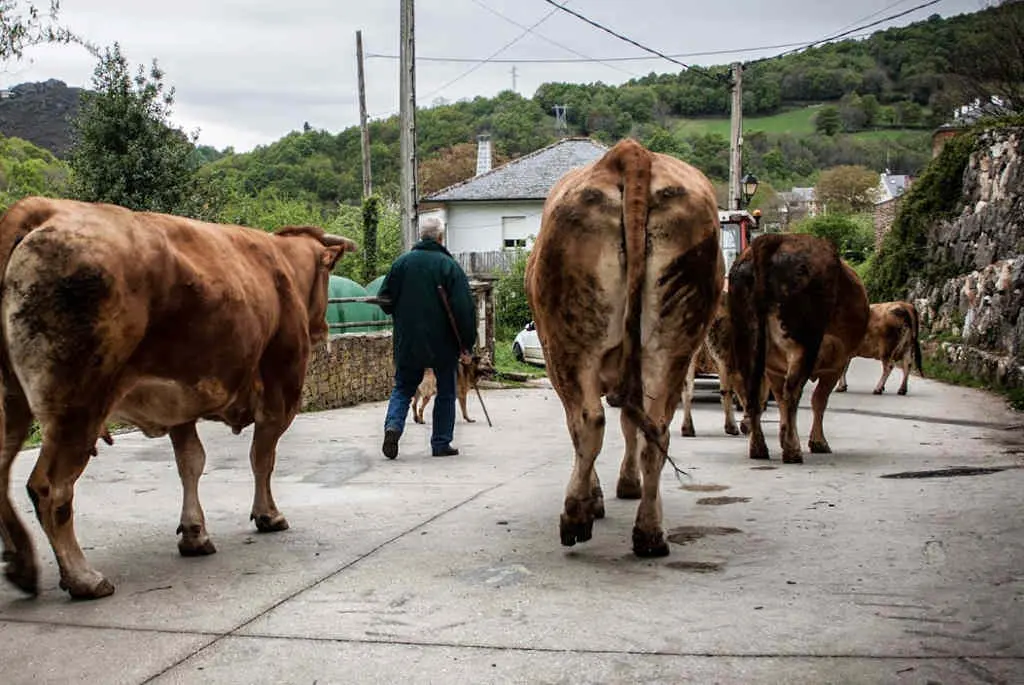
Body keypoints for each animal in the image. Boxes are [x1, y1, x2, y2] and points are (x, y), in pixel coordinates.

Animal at [0, 196, 357, 600]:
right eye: (326, 275)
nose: (323, 328)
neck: (280, 264)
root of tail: (44, 207)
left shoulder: (179, 401)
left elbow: (191, 462)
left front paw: (194, 534)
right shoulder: (280, 393)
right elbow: (262, 458)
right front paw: (268, 514)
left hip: (12, 401)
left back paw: (22, 564)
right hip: (78, 406)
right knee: (50, 488)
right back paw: (83, 577)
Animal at [525, 138, 724, 558]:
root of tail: (630, 153)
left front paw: (597, 498)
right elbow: (633, 426)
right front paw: (626, 486)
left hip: (570, 347)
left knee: (588, 423)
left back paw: (576, 517)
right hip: (673, 344)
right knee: (656, 430)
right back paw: (650, 532)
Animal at [728, 233, 869, 464]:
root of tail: (773, 239)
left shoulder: (774, 369)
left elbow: (779, 399)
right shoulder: (836, 364)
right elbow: (819, 400)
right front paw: (818, 442)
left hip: (746, 343)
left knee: (753, 393)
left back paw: (758, 447)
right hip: (803, 345)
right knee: (792, 392)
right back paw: (792, 450)